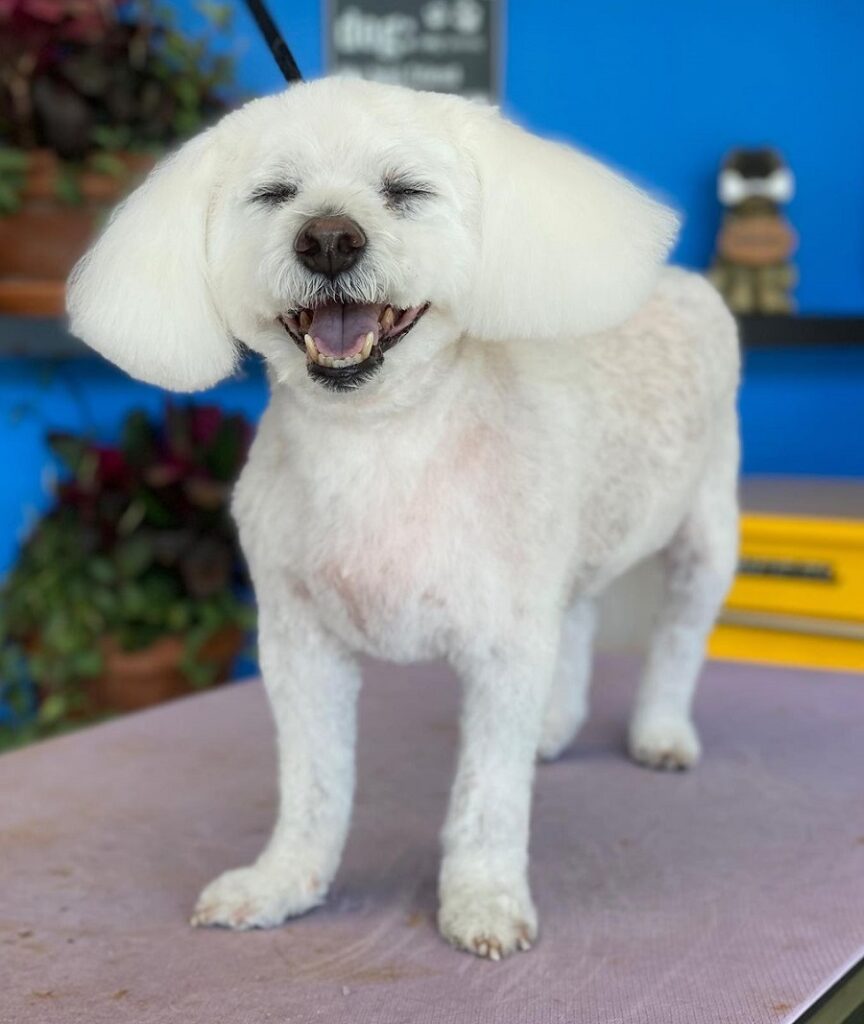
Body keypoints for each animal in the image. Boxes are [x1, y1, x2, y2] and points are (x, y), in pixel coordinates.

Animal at [70, 75, 741, 954]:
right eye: (275, 194)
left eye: (405, 191)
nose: (328, 239)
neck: (376, 444)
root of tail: (676, 279)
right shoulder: (299, 646)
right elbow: (313, 786)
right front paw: (283, 882)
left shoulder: (502, 645)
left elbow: (489, 798)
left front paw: (483, 898)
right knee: (579, 618)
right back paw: (552, 725)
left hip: (705, 532)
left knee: (679, 639)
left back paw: (660, 731)